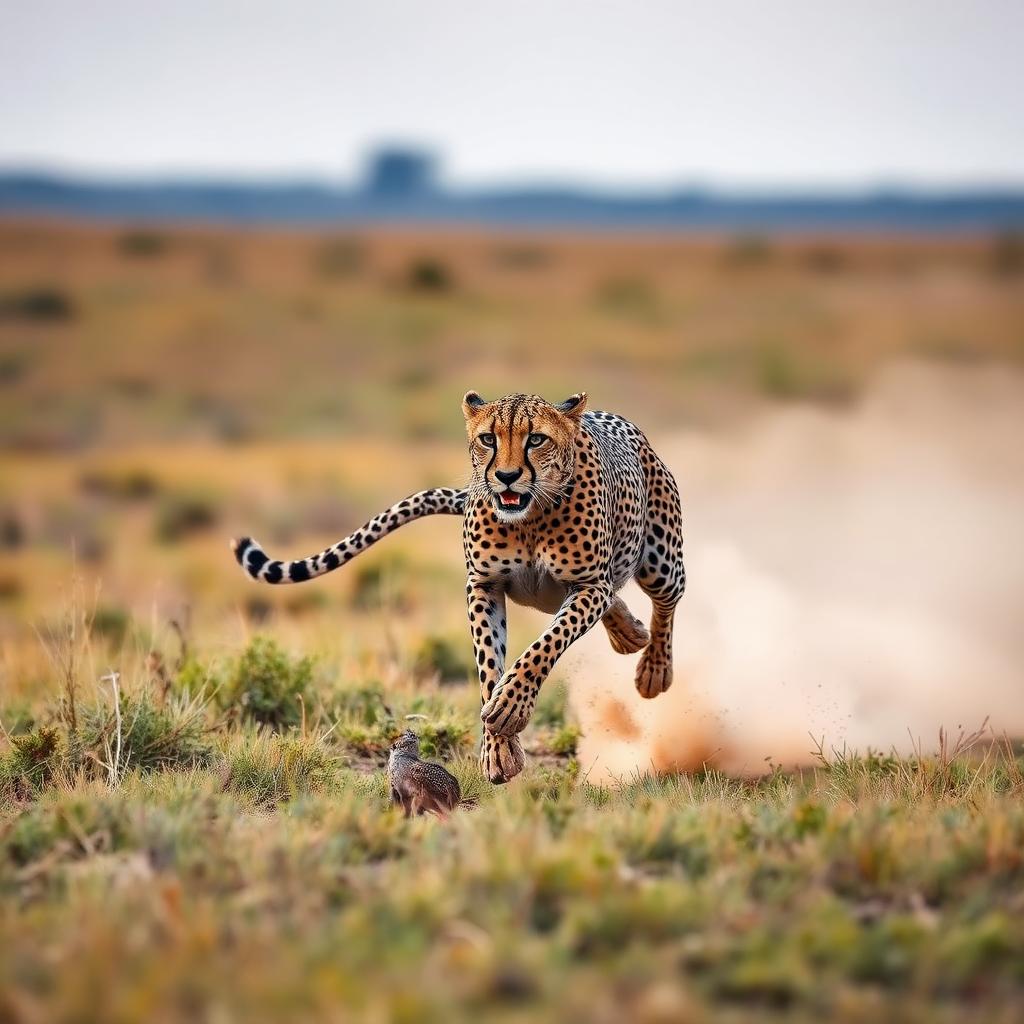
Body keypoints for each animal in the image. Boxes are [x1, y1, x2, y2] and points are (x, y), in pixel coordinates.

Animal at [231, 391, 685, 784]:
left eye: (536, 439)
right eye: (488, 439)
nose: (506, 477)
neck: (530, 518)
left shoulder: (587, 584)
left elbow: (543, 646)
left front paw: (510, 707)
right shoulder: (484, 586)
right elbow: (489, 663)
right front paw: (498, 750)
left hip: (661, 562)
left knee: (665, 603)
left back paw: (654, 670)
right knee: (614, 600)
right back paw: (629, 633)